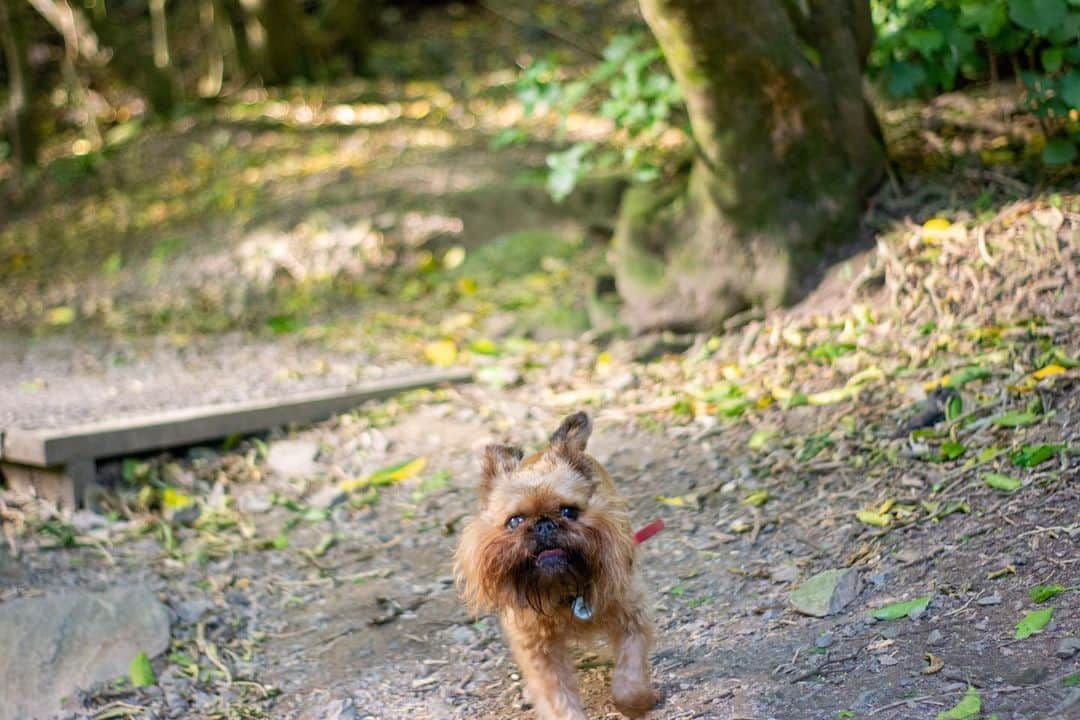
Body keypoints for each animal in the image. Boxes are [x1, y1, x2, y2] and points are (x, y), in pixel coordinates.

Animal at [453, 414, 652, 716]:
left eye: (568, 511)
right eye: (515, 521)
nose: (544, 525)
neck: (562, 589)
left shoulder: (630, 614)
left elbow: (631, 670)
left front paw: (636, 702)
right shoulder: (537, 648)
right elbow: (556, 696)